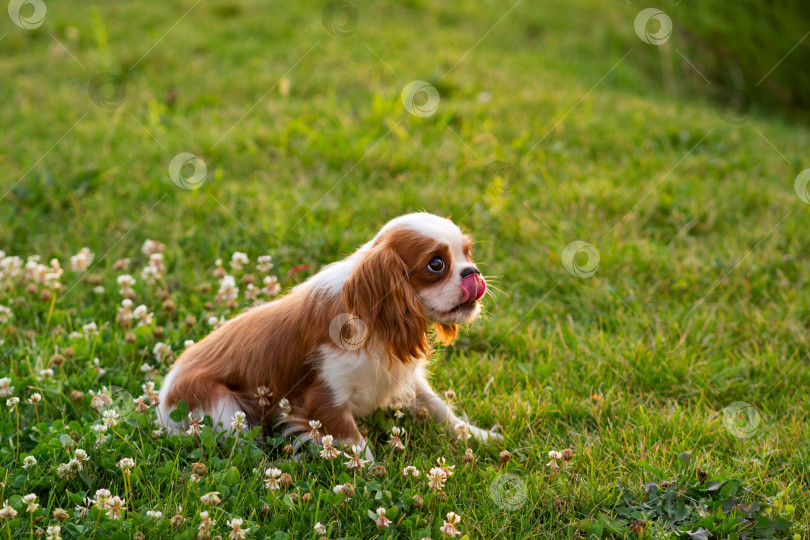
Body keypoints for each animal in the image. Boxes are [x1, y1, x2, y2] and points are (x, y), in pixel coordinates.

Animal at [157, 213, 498, 454]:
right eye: (436, 264)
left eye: (468, 254)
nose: (474, 273)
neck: (374, 322)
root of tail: (162, 401)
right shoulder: (323, 399)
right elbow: (358, 447)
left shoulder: (407, 379)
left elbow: (439, 407)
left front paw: (477, 435)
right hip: (223, 406)